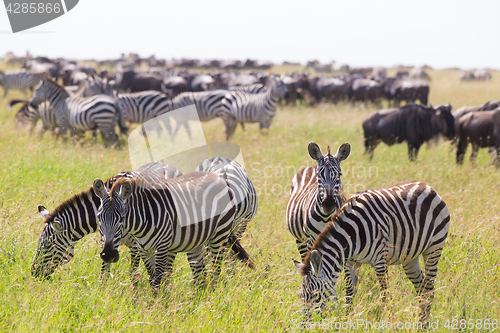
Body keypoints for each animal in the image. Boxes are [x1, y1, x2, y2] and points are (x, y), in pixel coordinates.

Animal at [31, 161, 181, 278]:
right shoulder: (106, 242)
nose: (34, 273)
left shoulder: (135, 245)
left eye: (47, 246)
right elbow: (104, 272)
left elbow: (133, 273)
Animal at [94, 171, 256, 290]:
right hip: (197, 242)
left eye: (122, 218)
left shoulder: (162, 247)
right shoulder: (144, 249)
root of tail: (221, 179)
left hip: (219, 235)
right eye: (98, 217)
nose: (107, 255)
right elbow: (152, 278)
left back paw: (211, 297)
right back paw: (198, 303)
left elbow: (157, 280)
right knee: (200, 275)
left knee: (215, 269)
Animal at [294, 182, 452, 320]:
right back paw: (421, 320)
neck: (352, 236)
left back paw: (424, 324)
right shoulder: (351, 262)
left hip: (434, 248)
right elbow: (349, 294)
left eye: (314, 295)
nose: (304, 324)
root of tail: (427, 187)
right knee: (422, 289)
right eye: (301, 296)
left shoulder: (380, 261)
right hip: (409, 257)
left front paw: (384, 320)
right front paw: (346, 320)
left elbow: (384, 295)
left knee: (429, 289)